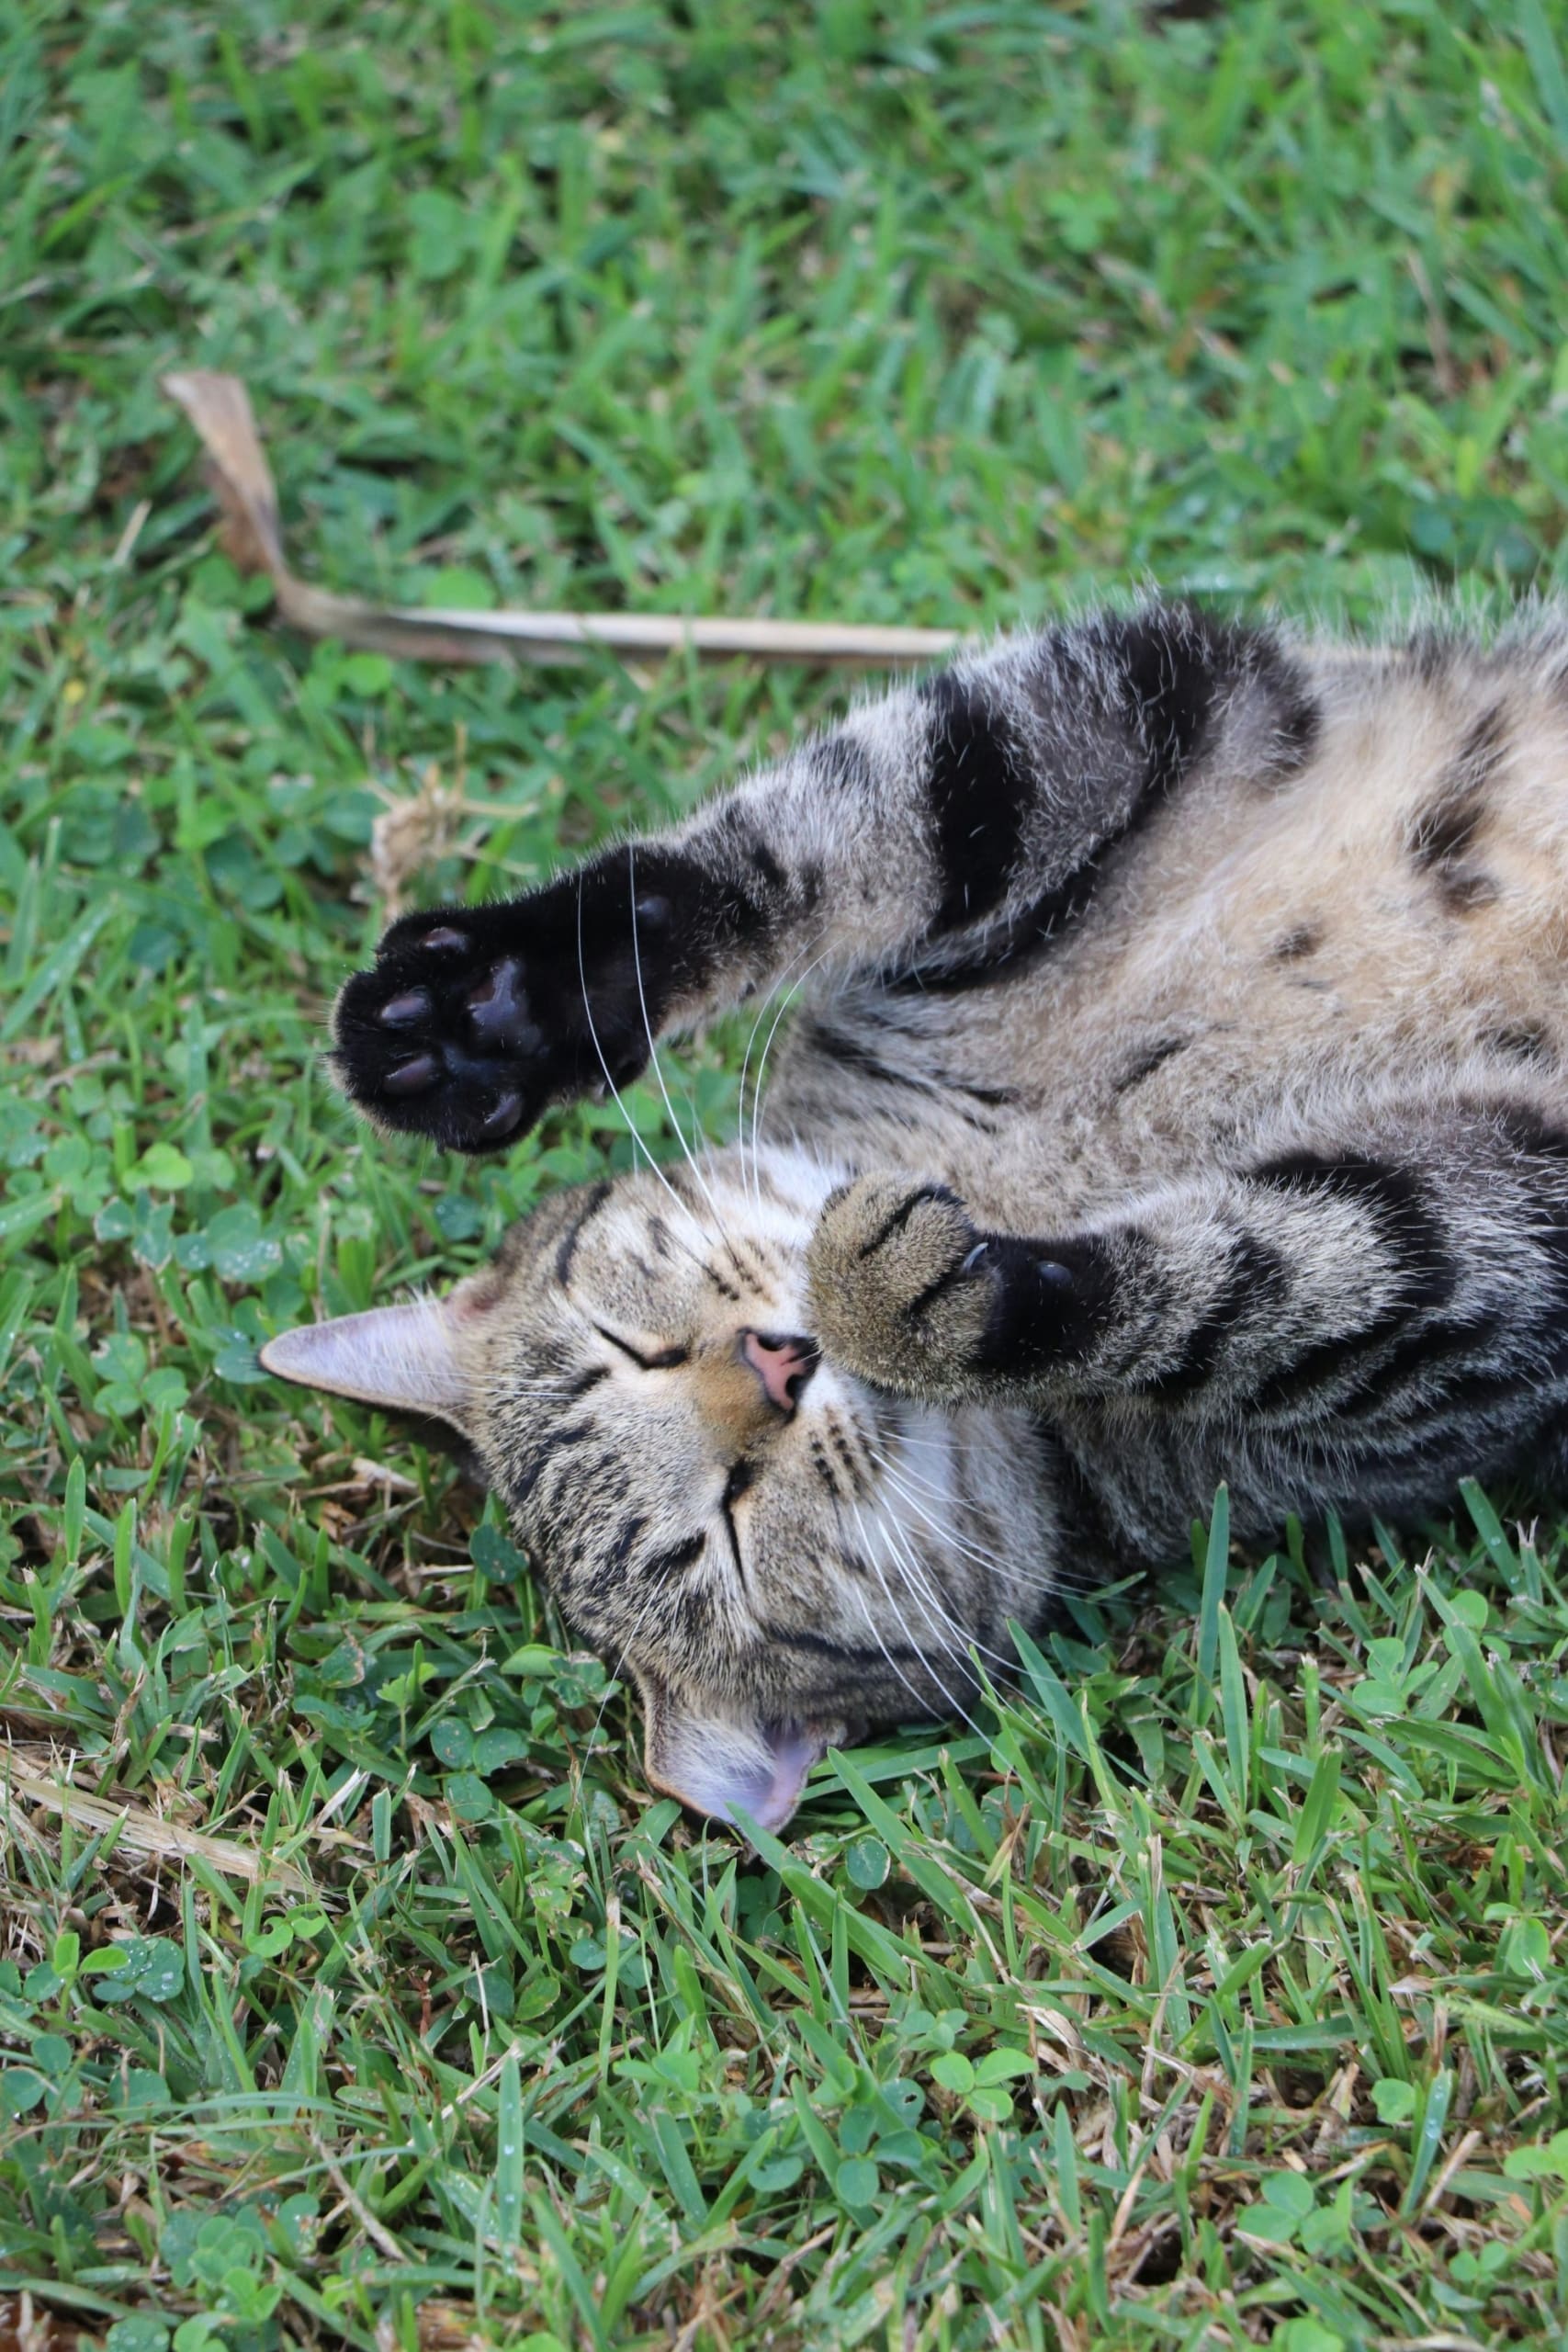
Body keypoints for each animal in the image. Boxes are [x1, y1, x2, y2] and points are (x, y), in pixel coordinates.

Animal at [263, 597, 1568, 1825]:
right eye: (726, 1533)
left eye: (626, 1346)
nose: (775, 1365)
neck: (1022, 1172)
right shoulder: (1459, 1297)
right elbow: (1261, 1280)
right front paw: (931, 1297)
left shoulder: (1103, 711)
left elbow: (774, 861)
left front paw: (490, 1007)